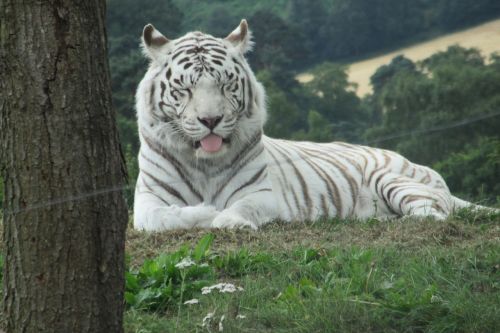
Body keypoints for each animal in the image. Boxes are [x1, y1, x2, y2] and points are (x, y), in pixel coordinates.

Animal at [133, 20, 476, 231]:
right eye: (185, 89)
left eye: (225, 85)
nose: (210, 121)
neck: (204, 162)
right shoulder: (146, 201)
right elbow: (162, 217)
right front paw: (205, 212)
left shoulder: (262, 193)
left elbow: (242, 208)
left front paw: (227, 220)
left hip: (393, 179)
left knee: (434, 214)